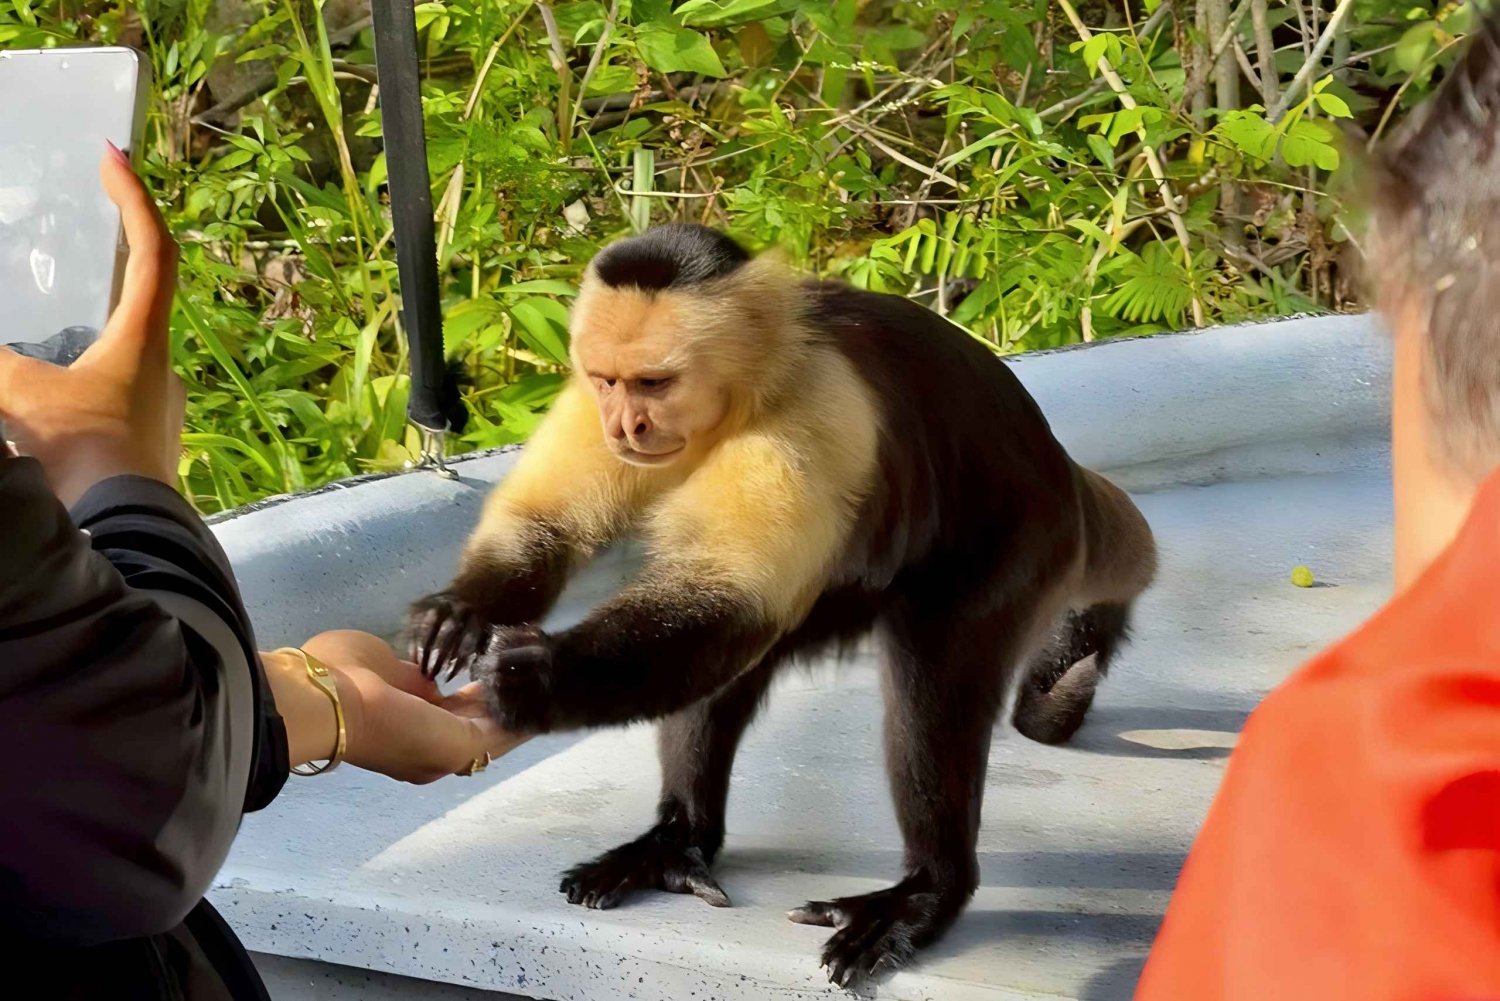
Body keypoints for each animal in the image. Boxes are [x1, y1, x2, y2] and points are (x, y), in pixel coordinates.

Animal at [411, 225, 1158, 984]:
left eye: (655, 383)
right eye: (608, 381)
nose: (627, 424)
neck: (748, 388)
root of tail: (1057, 469)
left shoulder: (813, 411)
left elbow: (730, 596)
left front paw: (530, 678)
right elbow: (550, 528)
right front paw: (463, 610)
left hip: (1012, 545)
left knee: (929, 688)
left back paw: (929, 889)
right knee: (721, 662)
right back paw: (681, 838)